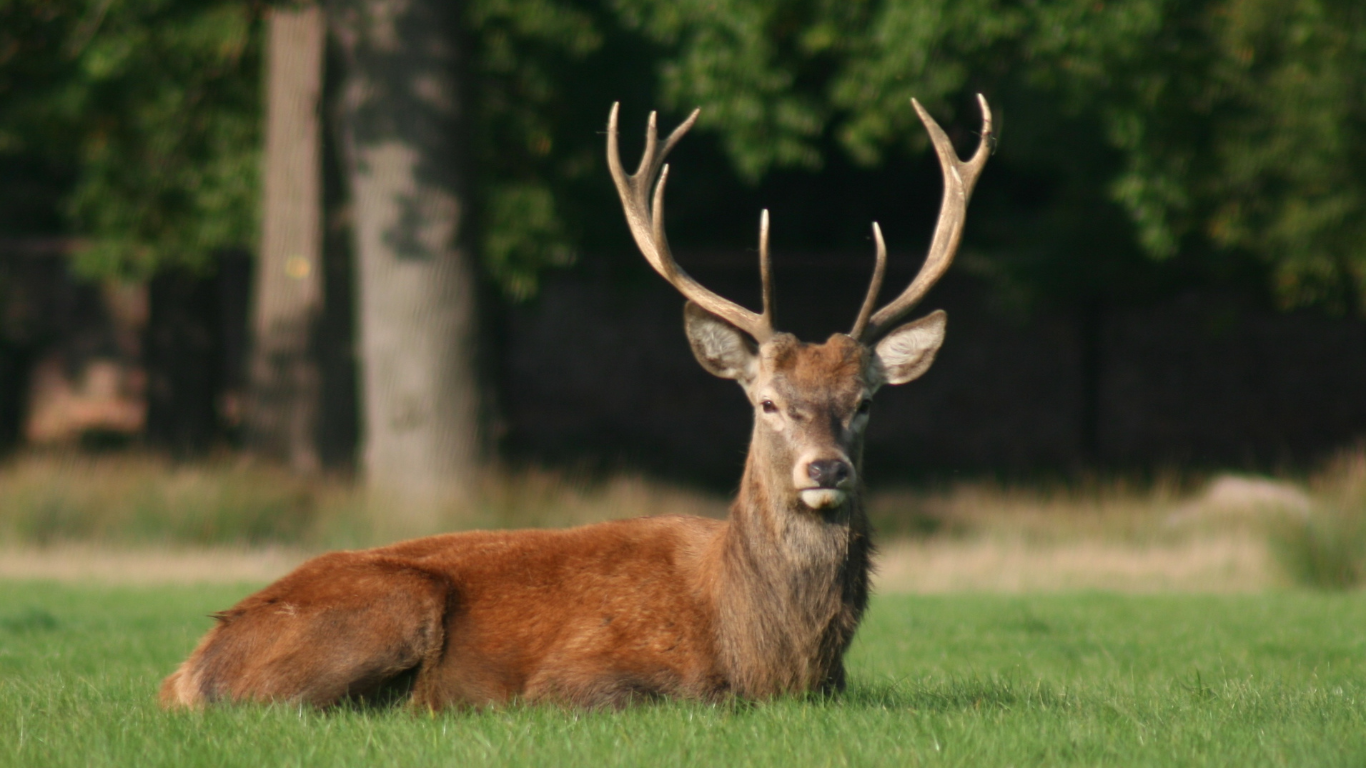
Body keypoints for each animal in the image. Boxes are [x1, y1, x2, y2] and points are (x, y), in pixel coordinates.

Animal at [159, 94, 994, 705]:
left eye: (865, 402)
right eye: (766, 402)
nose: (825, 470)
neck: (766, 653)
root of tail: (187, 669)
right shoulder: (582, 675)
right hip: (390, 606)